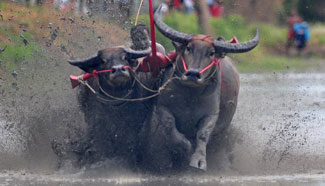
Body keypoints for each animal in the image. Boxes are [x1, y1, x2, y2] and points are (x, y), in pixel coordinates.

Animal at [142, 5, 258, 172]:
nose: (193, 74)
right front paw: (185, 148)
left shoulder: (211, 114)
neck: (190, 96)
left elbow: (203, 134)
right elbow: (170, 126)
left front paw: (198, 161)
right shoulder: (162, 107)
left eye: (211, 53)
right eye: (189, 48)